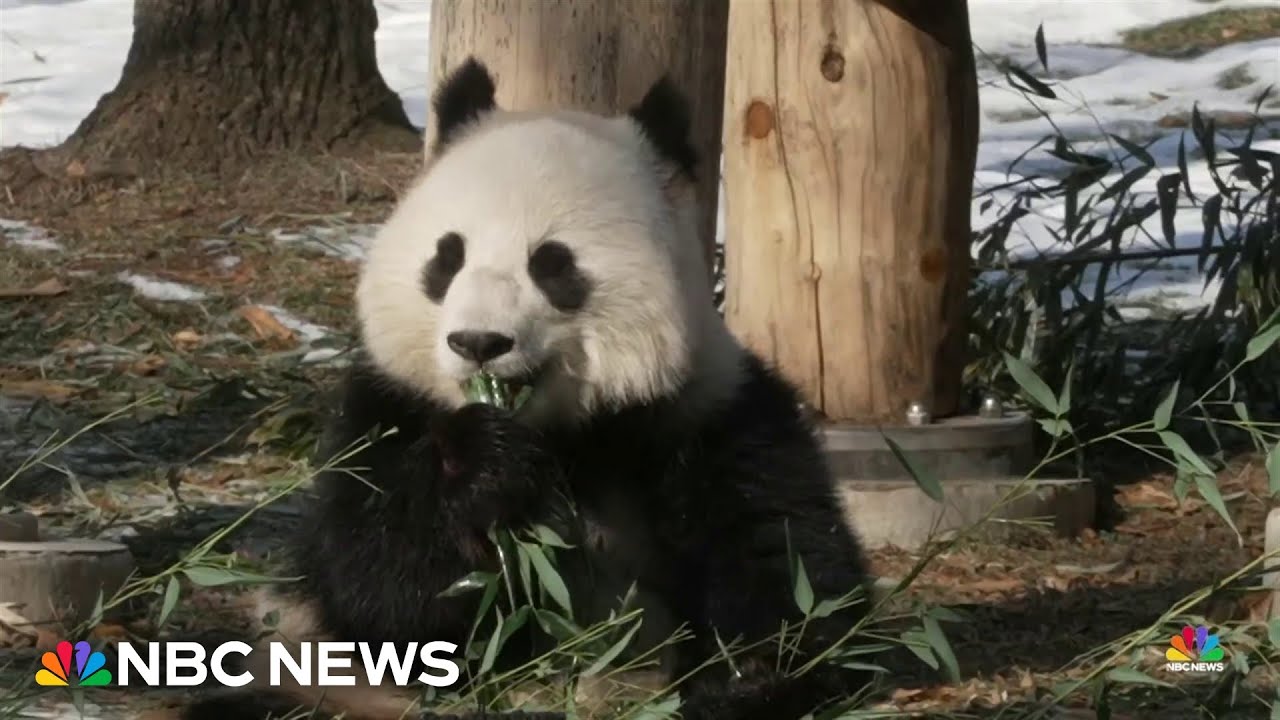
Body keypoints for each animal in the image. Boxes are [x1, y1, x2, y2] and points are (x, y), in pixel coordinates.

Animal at [181, 58, 875, 720]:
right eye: (447, 257)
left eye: (553, 264)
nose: (478, 342)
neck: (562, 434)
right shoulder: (386, 412)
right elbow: (378, 588)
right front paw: (481, 466)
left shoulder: (705, 413)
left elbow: (791, 567)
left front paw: (749, 679)